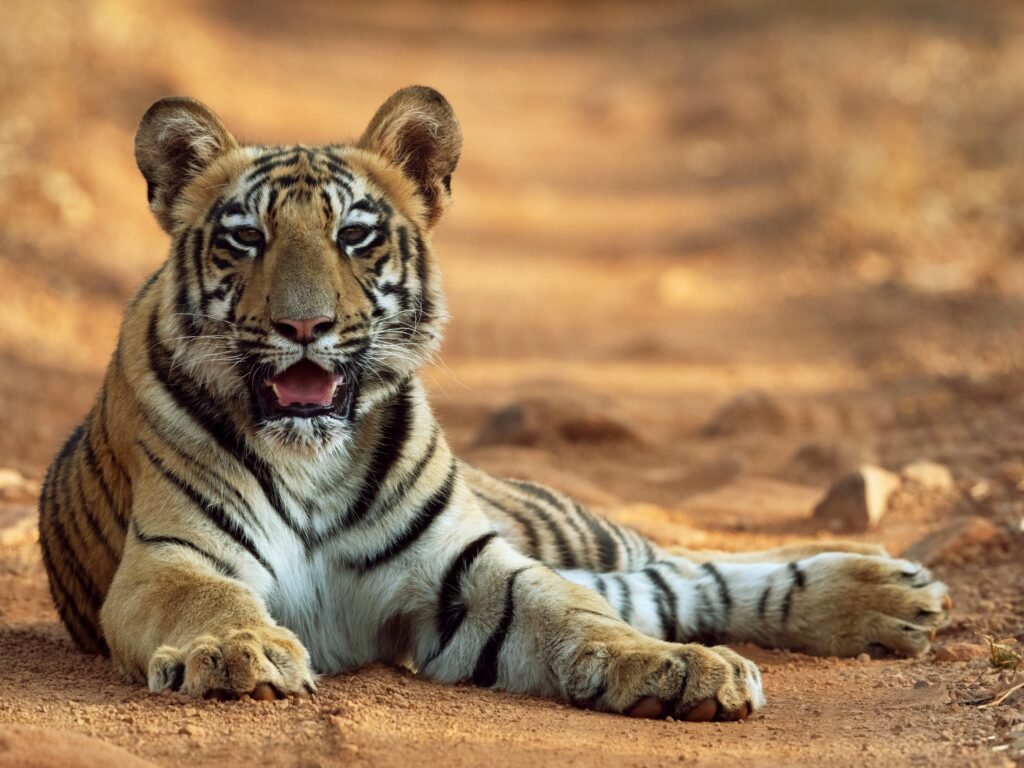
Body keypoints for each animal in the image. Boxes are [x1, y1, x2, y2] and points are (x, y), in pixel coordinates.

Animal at [38, 86, 951, 721]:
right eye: (246, 238)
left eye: (354, 236)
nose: (304, 325)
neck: (312, 457)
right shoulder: (171, 559)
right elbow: (212, 601)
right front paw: (241, 650)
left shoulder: (469, 568)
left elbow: (579, 617)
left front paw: (682, 668)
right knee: (666, 580)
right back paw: (889, 595)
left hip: (562, 528)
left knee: (686, 566)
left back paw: (886, 585)